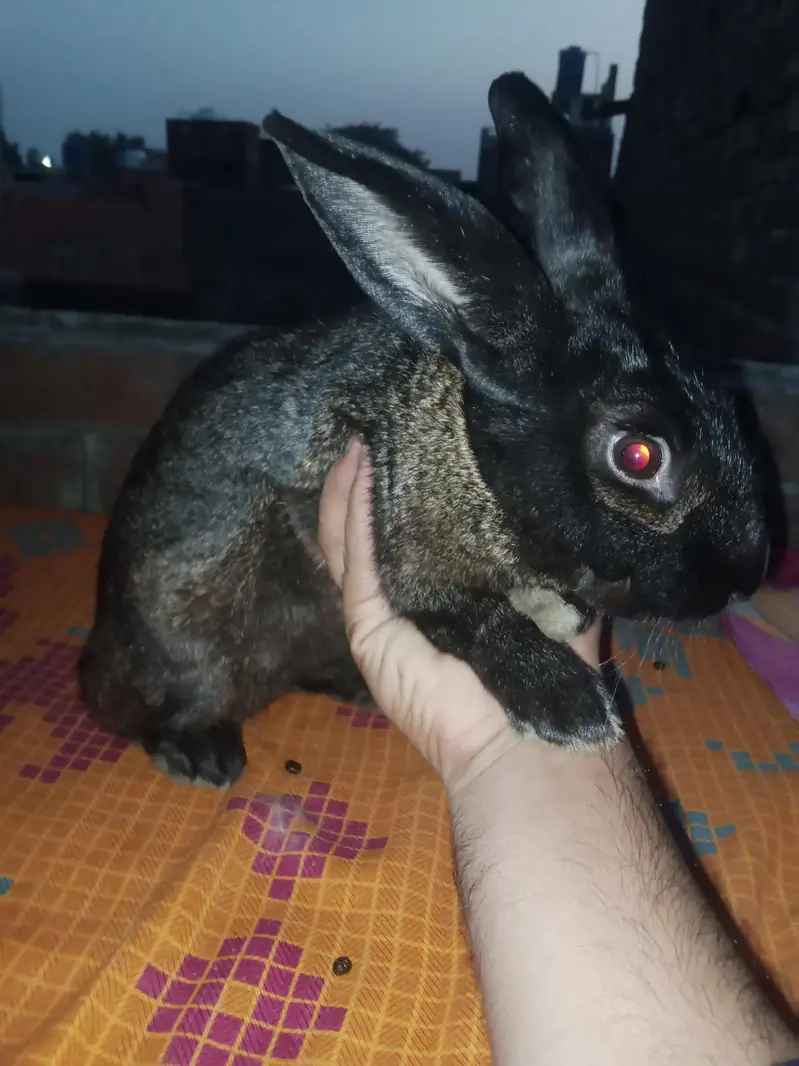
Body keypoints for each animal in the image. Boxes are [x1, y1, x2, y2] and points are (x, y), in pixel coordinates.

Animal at [78, 71, 769, 788]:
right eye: (637, 456)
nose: (746, 577)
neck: (477, 456)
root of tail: (95, 669)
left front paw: (560, 615)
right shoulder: (402, 543)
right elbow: (472, 616)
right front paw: (571, 707)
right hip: (190, 634)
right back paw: (202, 755)